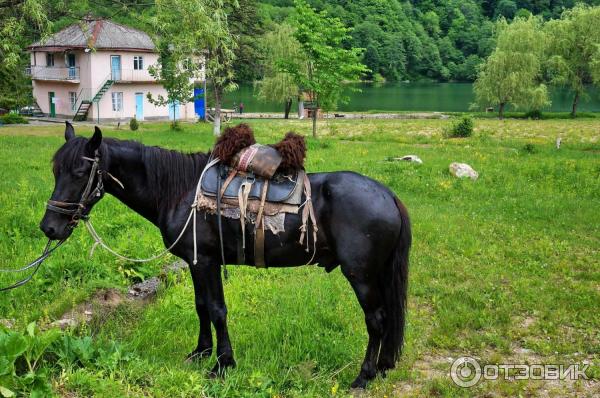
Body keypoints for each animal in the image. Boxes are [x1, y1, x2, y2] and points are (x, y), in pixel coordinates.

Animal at [39, 123, 410, 388]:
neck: (179, 191)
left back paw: (364, 376)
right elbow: (202, 307)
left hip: (361, 275)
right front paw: (201, 353)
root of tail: (388, 194)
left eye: (79, 173)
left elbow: (217, 310)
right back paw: (381, 368)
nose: (49, 227)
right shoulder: (195, 262)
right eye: (56, 171)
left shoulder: (206, 262)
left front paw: (222, 364)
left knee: (377, 319)